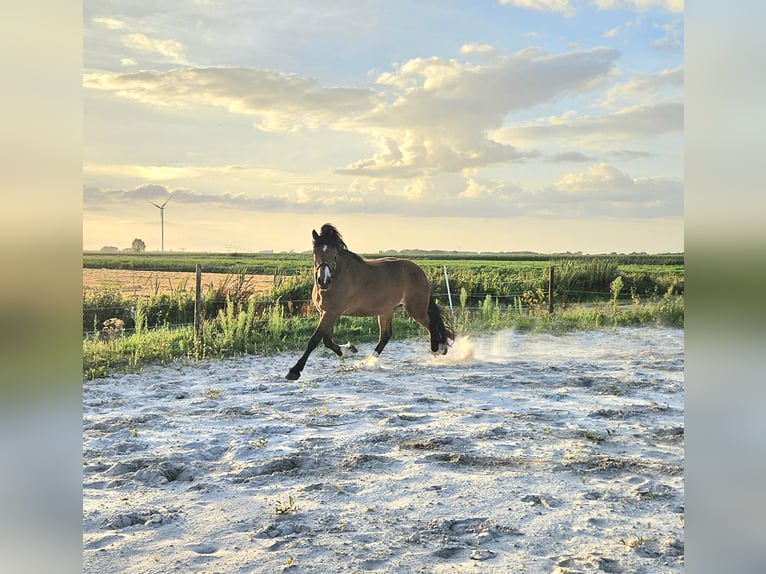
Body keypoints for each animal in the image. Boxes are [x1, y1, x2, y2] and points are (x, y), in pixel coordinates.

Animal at [285, 224, 455, 380]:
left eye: (334, 255)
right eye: (316, 253)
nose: (323, 281)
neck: (338, 277)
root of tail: (421, 272)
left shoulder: (332, 313)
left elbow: (315, 340)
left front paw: (294, 371)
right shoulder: (325, 312)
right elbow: (326, 340)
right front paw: (349, 349)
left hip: (415, 309)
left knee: (432, 325)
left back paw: (438, 348)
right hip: (387, 310)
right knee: (386, 336)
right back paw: (367, 362)